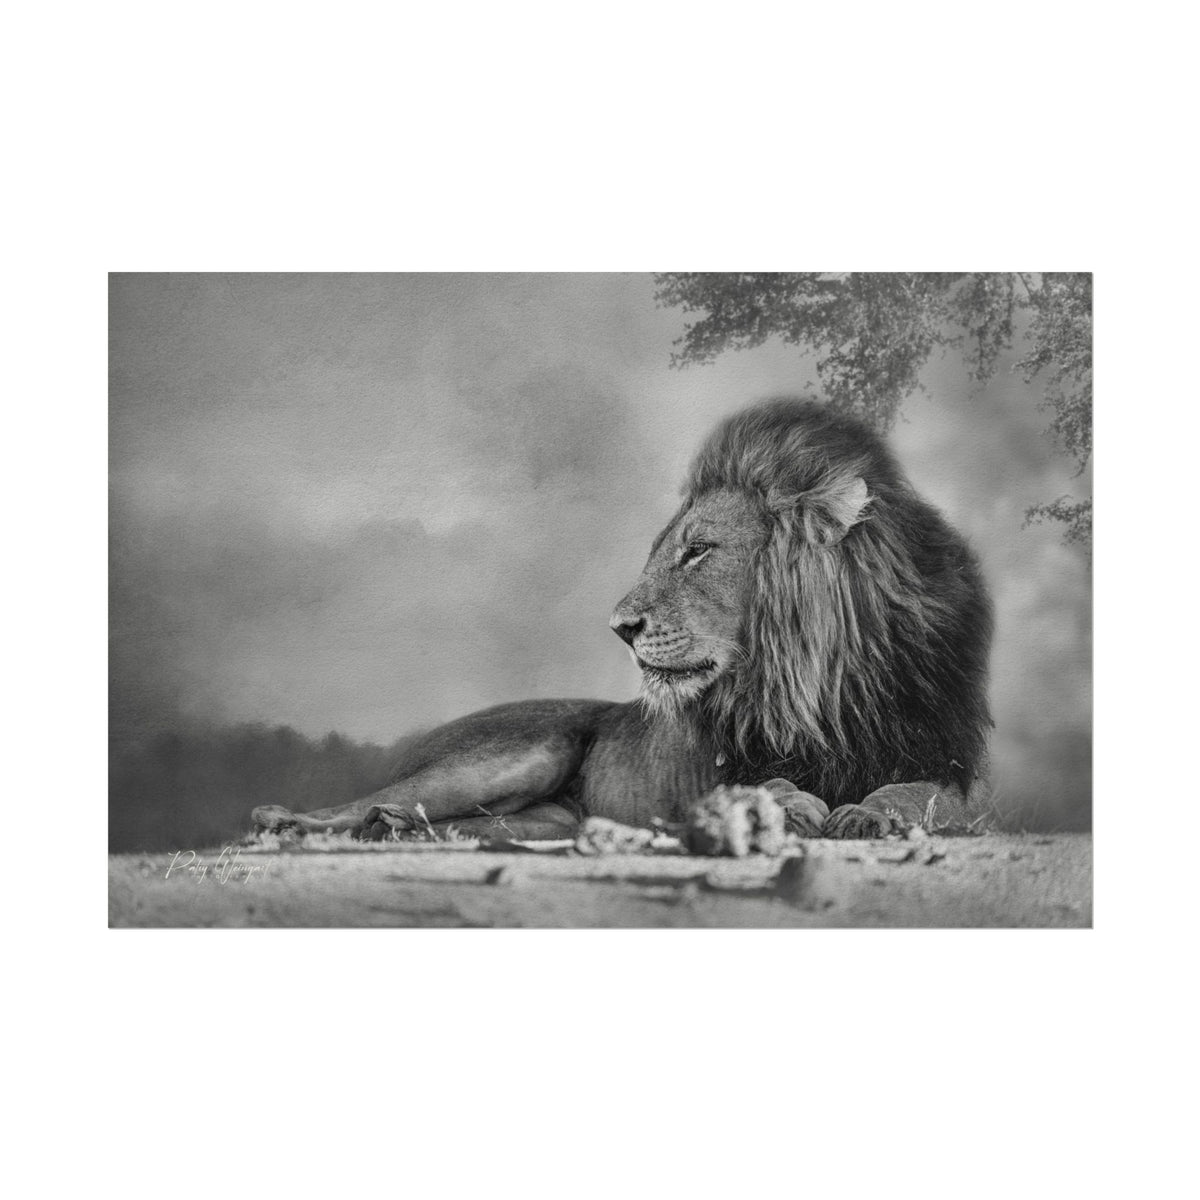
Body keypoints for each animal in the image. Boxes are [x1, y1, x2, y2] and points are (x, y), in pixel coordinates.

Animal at [251, 397, 992, 843]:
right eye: (668, 550)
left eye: (698, 551)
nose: (618, 627)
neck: (822, 686)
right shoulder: (721, 771)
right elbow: (767, 784)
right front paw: (790, 804)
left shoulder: (948, 764)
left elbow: (920, 794)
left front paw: (868, 813)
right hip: (515, 755)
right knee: (360, 803)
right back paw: (283, 820)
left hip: (536, 820)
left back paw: (396, 829)